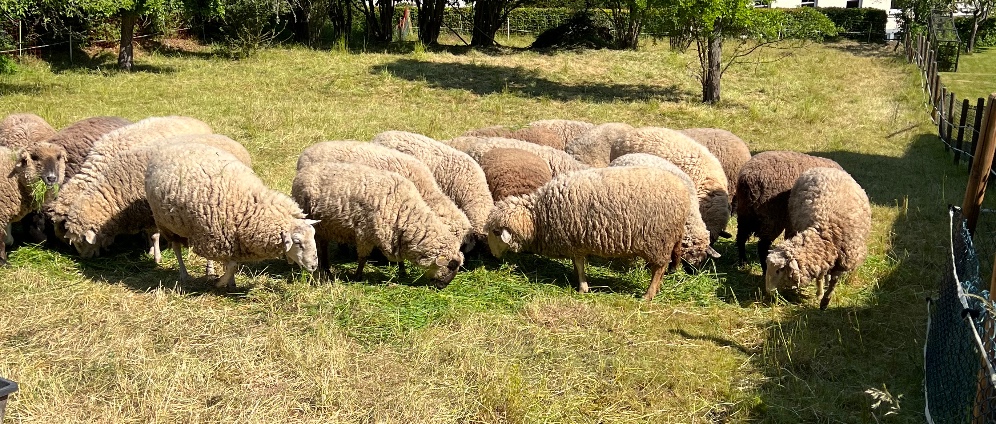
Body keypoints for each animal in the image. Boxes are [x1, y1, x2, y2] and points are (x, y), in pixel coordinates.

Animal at [62, 134, 252, 260]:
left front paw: (156, 255)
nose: (84, 259)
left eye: (81, 242)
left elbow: (155, 236)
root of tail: (236, 144)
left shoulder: (151, 213)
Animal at [146, 143, 319, 289]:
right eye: (297, 242)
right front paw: (220, 283)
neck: (248, 207)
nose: (314, 266)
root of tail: (174, 145)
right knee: (176, 248)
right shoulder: (220, 237)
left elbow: (232, 265)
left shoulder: (229, 239)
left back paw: (209, 270)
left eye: (313, 237)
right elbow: (232, 266)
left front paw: (230, 283)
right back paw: (184, 274)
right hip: (167, 223)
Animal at [293, 162, 464, 287]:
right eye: (451, 266)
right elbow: (363, 258)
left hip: (326, 226)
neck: (404, 210)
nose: (442, 287)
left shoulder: (395, 235)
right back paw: (326, 269)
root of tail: (301, 173)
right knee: (321, 246)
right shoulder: (364, 234)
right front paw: (357, 276)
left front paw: (403, 272)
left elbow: (399, 258)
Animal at [485, 166, 690, 301]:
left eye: (496, 232)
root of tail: (684, 191)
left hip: (659, 240)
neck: (537, 218)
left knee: (658, 269)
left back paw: (648, 294)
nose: (493, 255)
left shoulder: (574, 240)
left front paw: (582, 287)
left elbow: (579, 264)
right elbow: (577, 264)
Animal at [765, 167, 871, 310]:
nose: (768, 291)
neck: (827, 234)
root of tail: (827, 169)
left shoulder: (842, 262)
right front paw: (820, 293)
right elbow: (820, 275)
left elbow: (833, 282)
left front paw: (825, 301)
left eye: (779, 270)